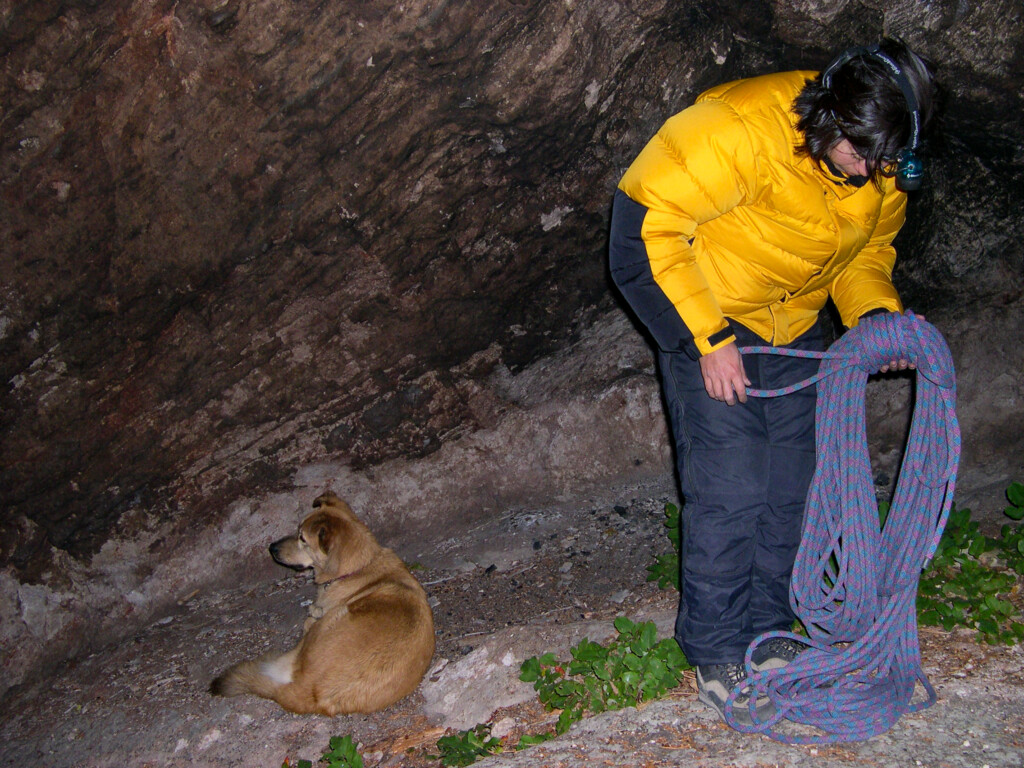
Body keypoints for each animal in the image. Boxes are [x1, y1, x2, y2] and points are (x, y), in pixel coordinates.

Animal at [209, 493, 434, 716]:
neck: (359, 567)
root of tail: (307, 691)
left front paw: (313, 611)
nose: (271, 548)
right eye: (297, 529)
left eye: (302, 538)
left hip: (333, 617)